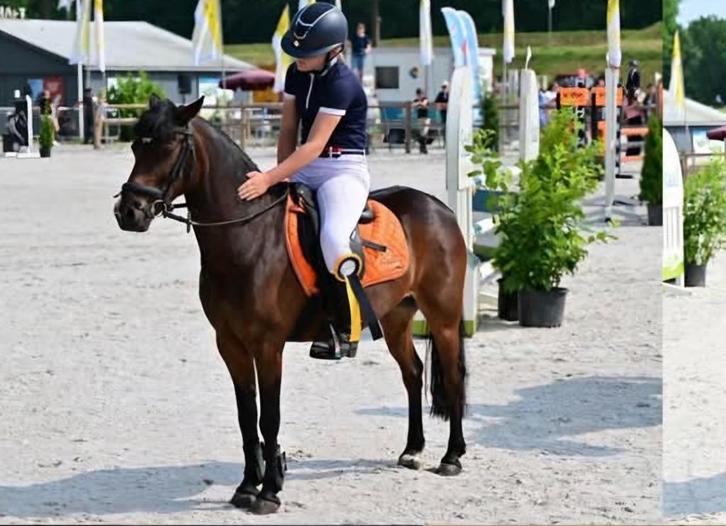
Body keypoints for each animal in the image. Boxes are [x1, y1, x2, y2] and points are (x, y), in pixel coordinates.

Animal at [113, 95, 468, 515]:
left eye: (168, 146)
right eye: (135, 146)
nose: (129, 212)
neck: (247, 237)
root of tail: (438, 208)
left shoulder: (268, 346)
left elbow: (269, 418)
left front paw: (269, 491)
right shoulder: (230, 344)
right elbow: (246, 416)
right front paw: (248, 486)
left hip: (443, 318)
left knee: (453, 377)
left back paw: (452, 457)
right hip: (397, 318)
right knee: (412, 373)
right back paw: (413, 450)